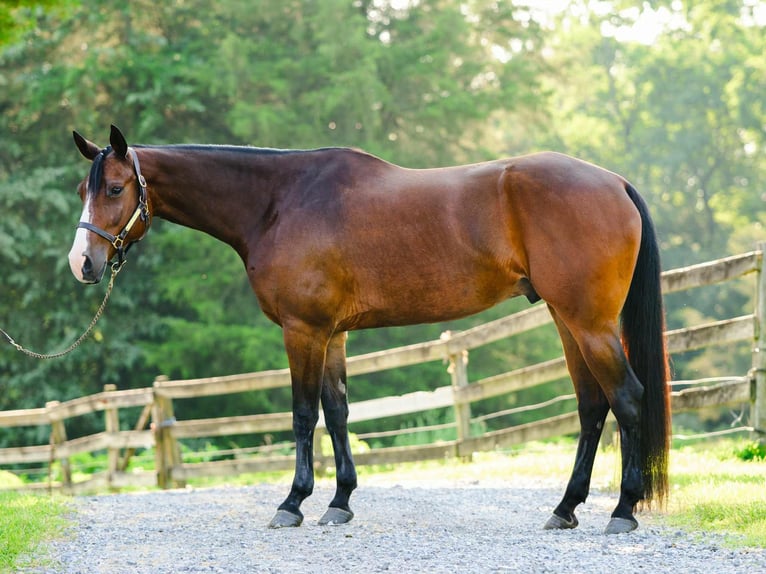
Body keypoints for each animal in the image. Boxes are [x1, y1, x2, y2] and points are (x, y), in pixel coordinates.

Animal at [68, 125, 670, 534]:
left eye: (116, 188)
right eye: (83, 189)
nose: (83, 264)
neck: (278, 202)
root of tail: (615, 182)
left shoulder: (303, 330)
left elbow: (303, 413)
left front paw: (293, 503)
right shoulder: (333, 333)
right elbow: (337, 412)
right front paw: (340, 502)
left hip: (588, 324)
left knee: (628, 398)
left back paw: (622, 511)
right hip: (568, 322)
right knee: (593, 406)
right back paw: (565, 509)